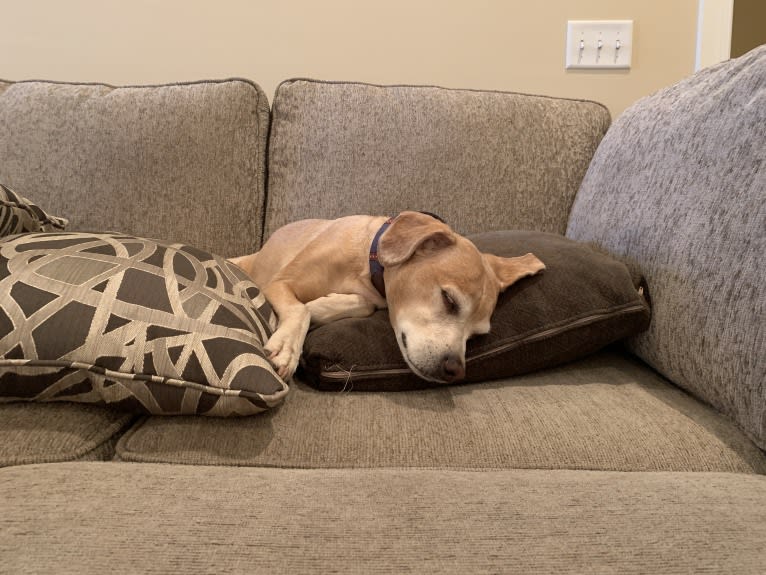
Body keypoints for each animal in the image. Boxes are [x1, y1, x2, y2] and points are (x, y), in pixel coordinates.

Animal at [231, 210, 548, 382]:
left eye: (477, 334)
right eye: (449, 299)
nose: (455, 370)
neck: (367, 260)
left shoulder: (370, 296)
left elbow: (360, 305)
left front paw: (320, 307)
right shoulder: (278, 283)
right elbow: (298, 310)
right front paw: (287, 349)